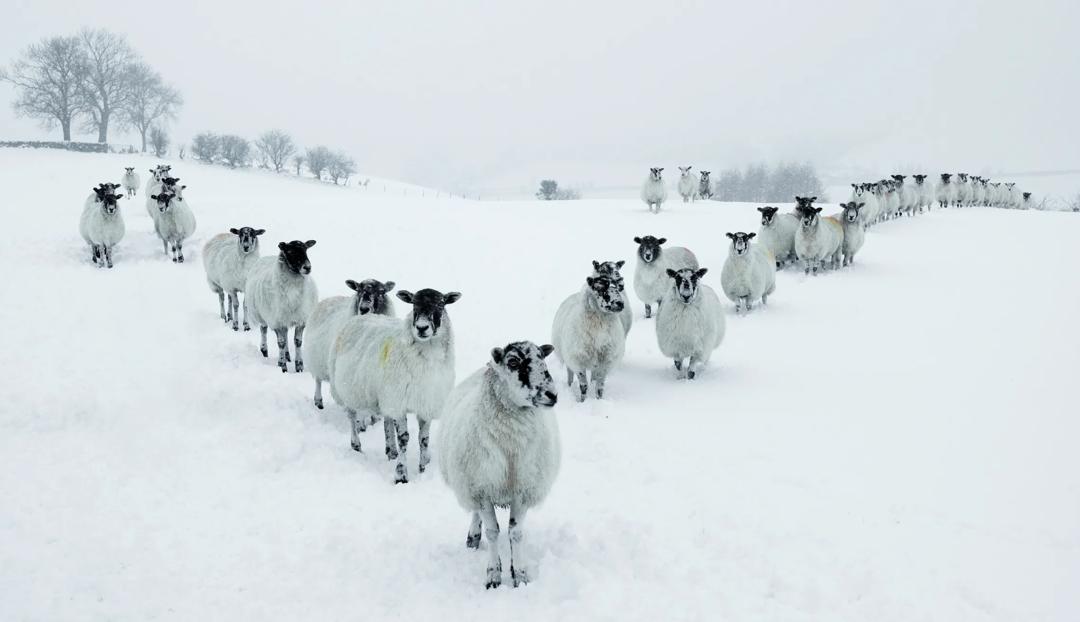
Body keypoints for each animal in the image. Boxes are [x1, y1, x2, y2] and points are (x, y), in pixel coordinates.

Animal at [244, 240, 319, 373]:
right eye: (290, 251)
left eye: (306, 249)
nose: (307, 267)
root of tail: (267, 257)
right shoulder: (277, 322)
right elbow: (281, 343)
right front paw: (283, 366)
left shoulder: (300, 320)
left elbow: (297, 342)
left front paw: (299, 365)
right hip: (263, 315)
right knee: (264, 330)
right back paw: (265, 350)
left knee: (285, 333)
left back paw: (288, 355)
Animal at [304, 278, 396, 416]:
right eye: (358, 290)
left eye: (381, 292)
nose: (363, 309)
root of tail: (330, 298)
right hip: (316, 360)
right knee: (318, 381)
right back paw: (319, 401)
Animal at [329, 288, 459, 482]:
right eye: (413, 305)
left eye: (441, 304)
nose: (421, 328)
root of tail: (360, 317)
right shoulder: (399, 403)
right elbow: (404, 438)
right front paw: (401, 473)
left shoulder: (426, 402)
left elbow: (423, 439)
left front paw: (423, 467)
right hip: (347, 389)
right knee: (352, 417)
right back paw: (356, 445)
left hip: (385, 395)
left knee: (387, 420)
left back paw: (391, 451)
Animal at [437, 341, 559, 589]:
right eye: (512, 362)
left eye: (543, 358)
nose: (552, 394)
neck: (511, 446)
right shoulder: (482, 489)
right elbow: (493, 532)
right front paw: (493, 575)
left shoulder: (522, 490)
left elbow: (516, 534)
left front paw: (519, 574)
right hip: (470, 482)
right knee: (476, 514)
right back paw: (473, 537)